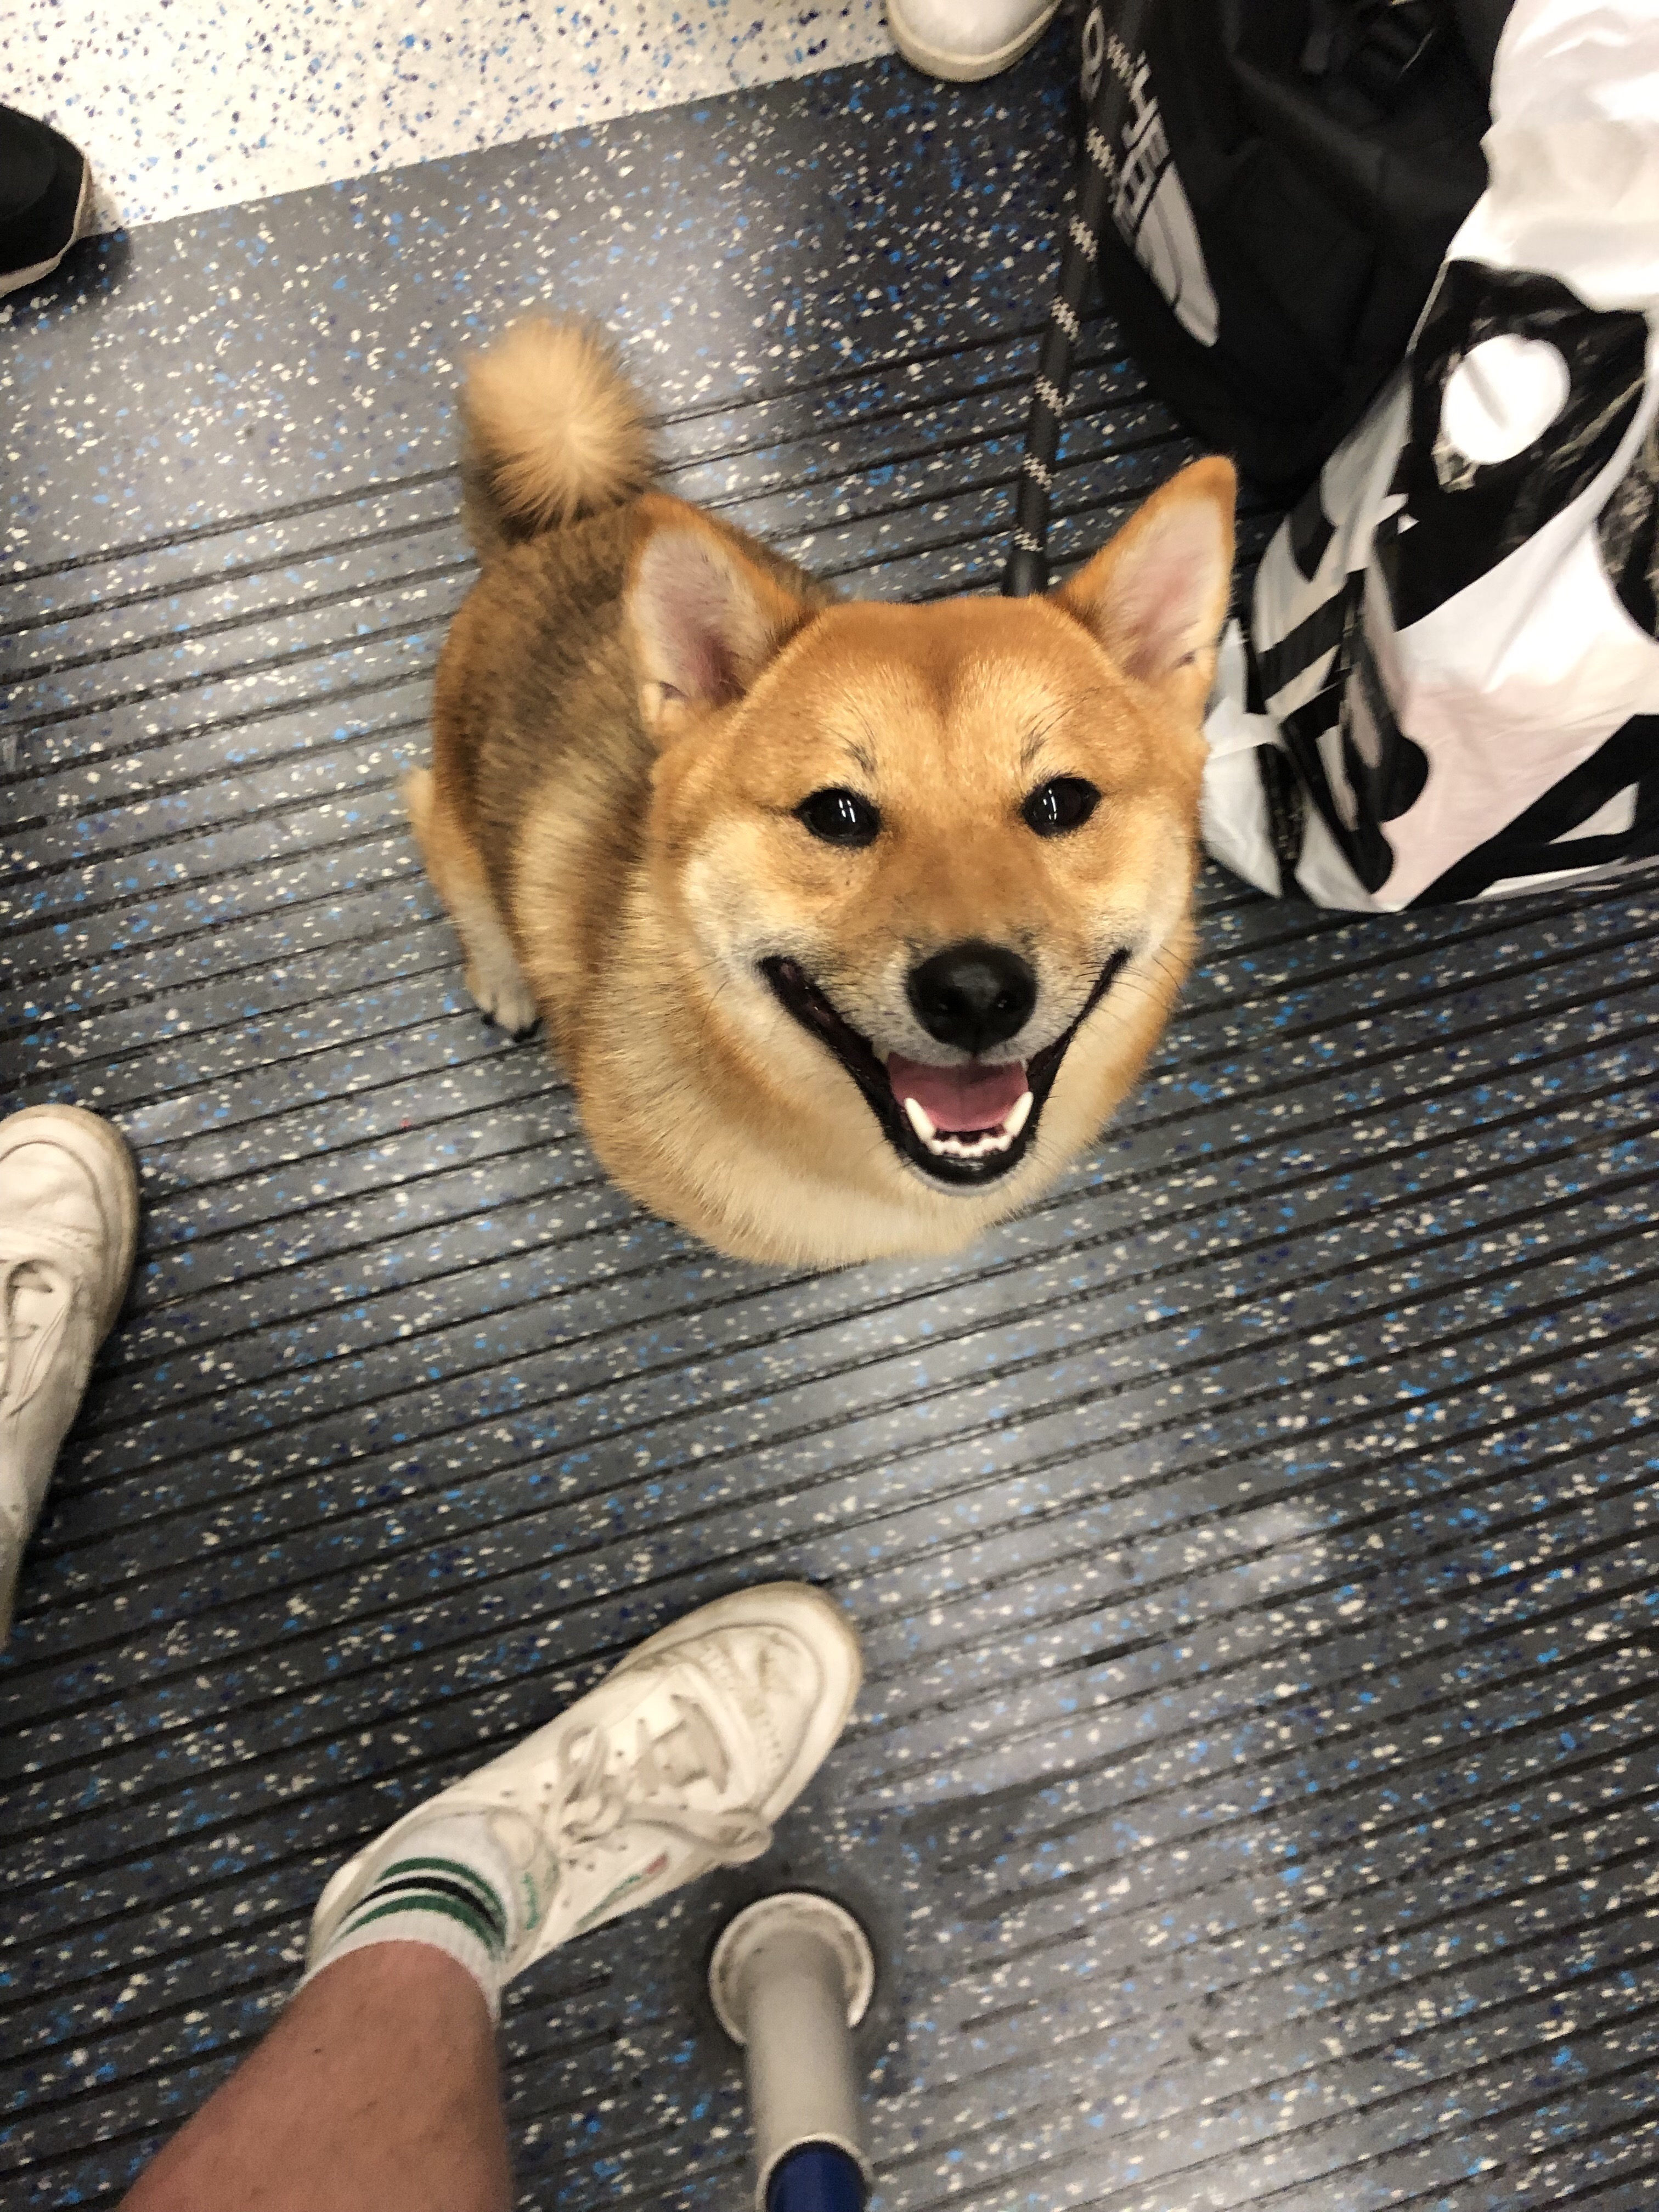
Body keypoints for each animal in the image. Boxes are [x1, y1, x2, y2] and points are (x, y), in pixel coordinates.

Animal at [407, 320, 1229, 1274]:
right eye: (836, 815)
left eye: (1063, 802)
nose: (976, 993)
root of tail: (562, 523)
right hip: (453, 817)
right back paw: (506, 977)